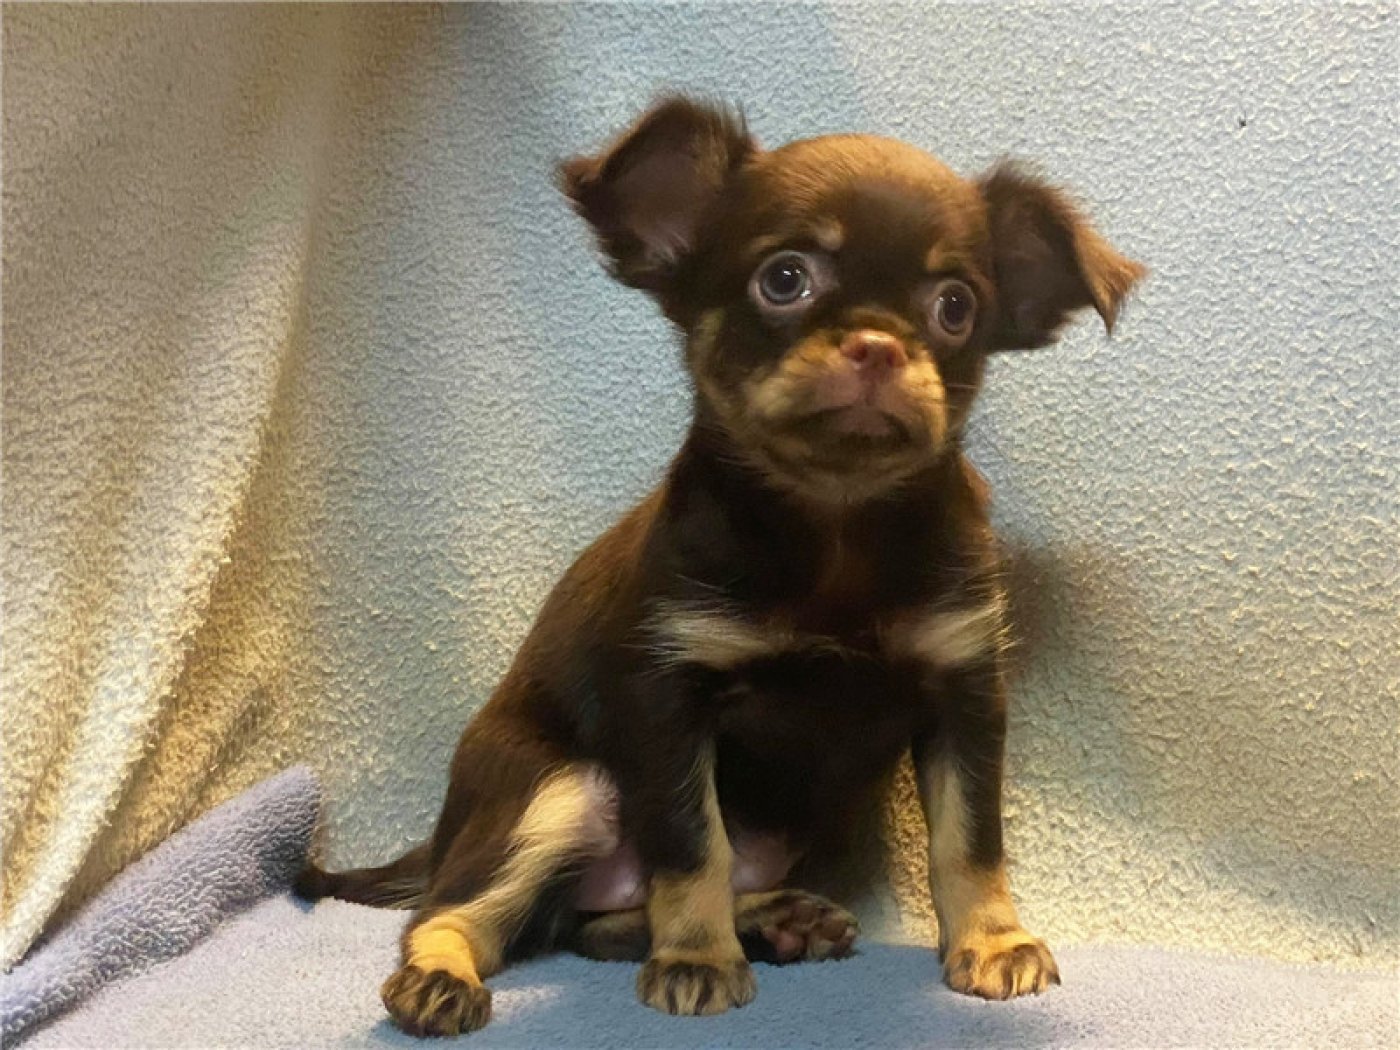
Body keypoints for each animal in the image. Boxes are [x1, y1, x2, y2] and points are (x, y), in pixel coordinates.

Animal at [295, 96, 1144, 1037]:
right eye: (785, 279)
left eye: (956, 307)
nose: (879, 344)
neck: (833, 522)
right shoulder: (671, 699)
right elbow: (691, 844)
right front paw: (697, 957)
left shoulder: (963, 693)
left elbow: (970, 839)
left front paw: (994, 940)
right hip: (559, 792)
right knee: (453, 911)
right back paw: (443, 977)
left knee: (594, 921)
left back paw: (777, 918)